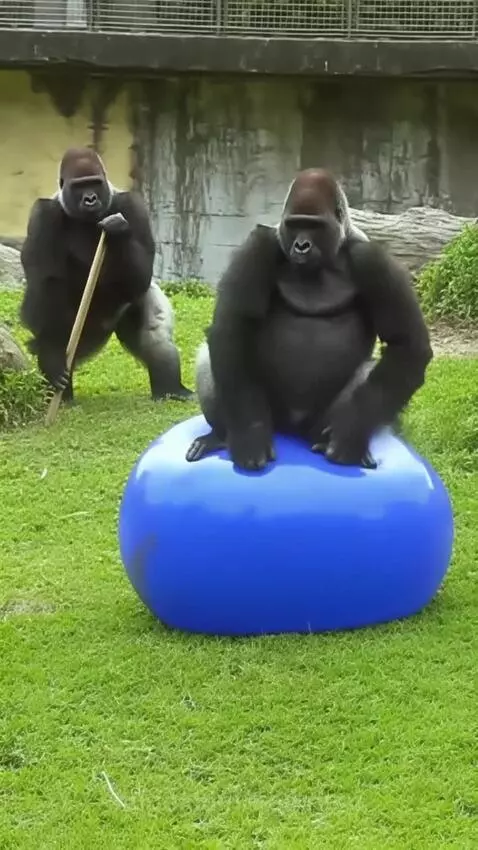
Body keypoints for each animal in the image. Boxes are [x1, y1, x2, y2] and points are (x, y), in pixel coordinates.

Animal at [19, 146, 192, 404]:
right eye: (80, 186)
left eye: (94, 183)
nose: (90, 199)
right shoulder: (42, 214)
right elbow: (45, 280)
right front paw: (52, 356)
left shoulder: (133, 205)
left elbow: (142, 275)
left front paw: (118, 231)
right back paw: (60, 391)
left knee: (154, 335)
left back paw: (170, 390)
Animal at [185, 168, 433, 471]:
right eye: (295, 224)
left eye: (314, 226)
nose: (301, 245)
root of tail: (292, 430)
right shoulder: (260, 245)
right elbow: (232, 327)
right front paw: (249, 436)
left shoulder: (373, 259)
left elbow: (406, 344)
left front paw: (349, 434)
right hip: (273, 417)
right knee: (210, 357)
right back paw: (220, 435)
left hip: (317, 425)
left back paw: (346, 440)